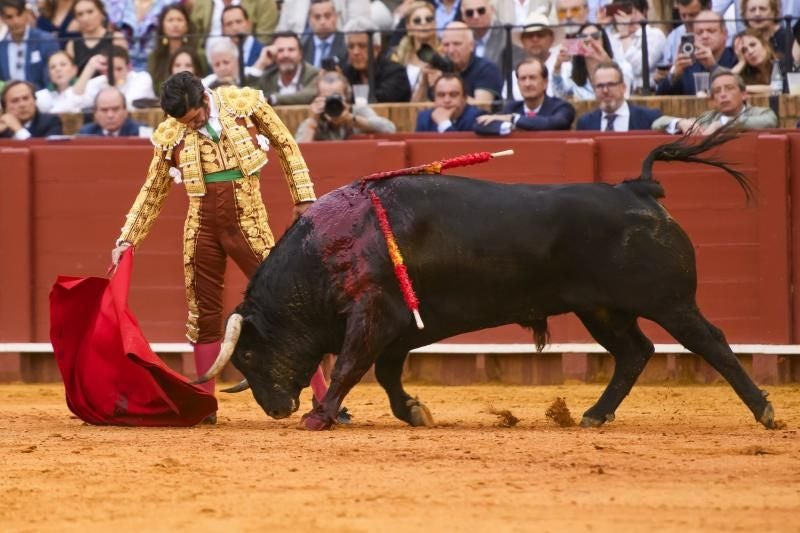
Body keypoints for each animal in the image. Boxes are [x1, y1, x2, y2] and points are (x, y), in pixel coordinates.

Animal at [197, 133, 780, 428]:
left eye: (248, 355)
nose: (277, 408)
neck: (330, 247)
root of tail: (636, 188)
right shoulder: (397, 327)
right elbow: (385, 373)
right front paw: (414, 412)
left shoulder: (373, 315)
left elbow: (348, 366)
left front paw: (319, 418)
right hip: (601, 309)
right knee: (635, 353)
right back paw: (593, 415)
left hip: (670, 302)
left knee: (711, 343)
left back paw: (765, 411)